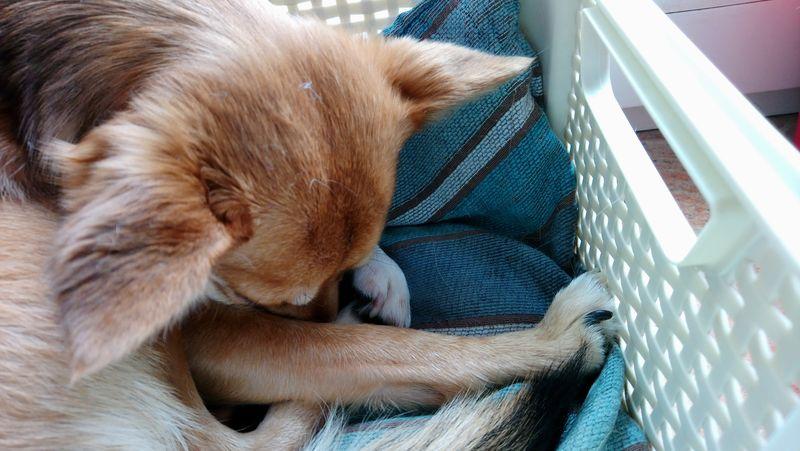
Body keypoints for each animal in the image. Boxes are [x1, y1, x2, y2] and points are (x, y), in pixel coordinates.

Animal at [0, 1, 618, 448]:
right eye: (262, 296)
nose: (336, 303)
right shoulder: (205, 330)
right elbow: (387, 350)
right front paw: (552, 344)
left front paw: (379, 274)